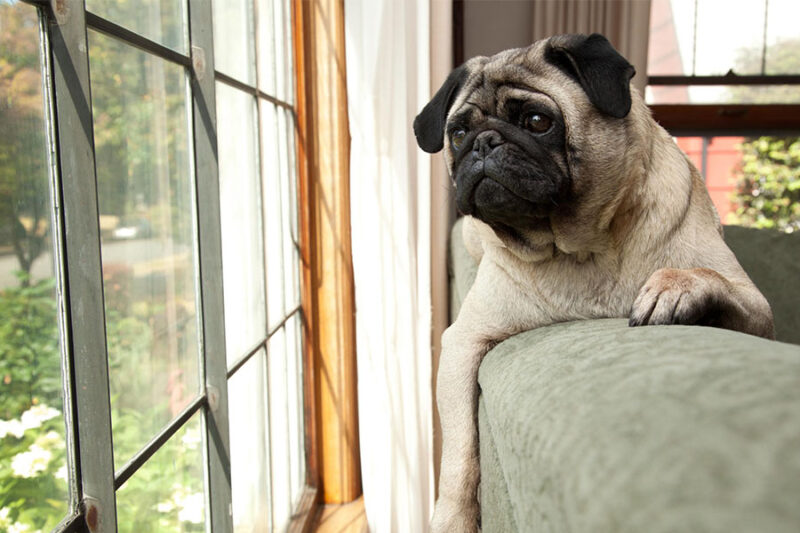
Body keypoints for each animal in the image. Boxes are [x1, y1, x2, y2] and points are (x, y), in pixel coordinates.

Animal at [416, 34, 772, 532]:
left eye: (538, 122)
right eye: (458, 135)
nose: (483, 143)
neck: (581, 248)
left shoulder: (756, 307)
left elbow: (702, 273)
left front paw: (674, 286)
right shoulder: (464, 343)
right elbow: (461, 451)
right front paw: (453, 517)